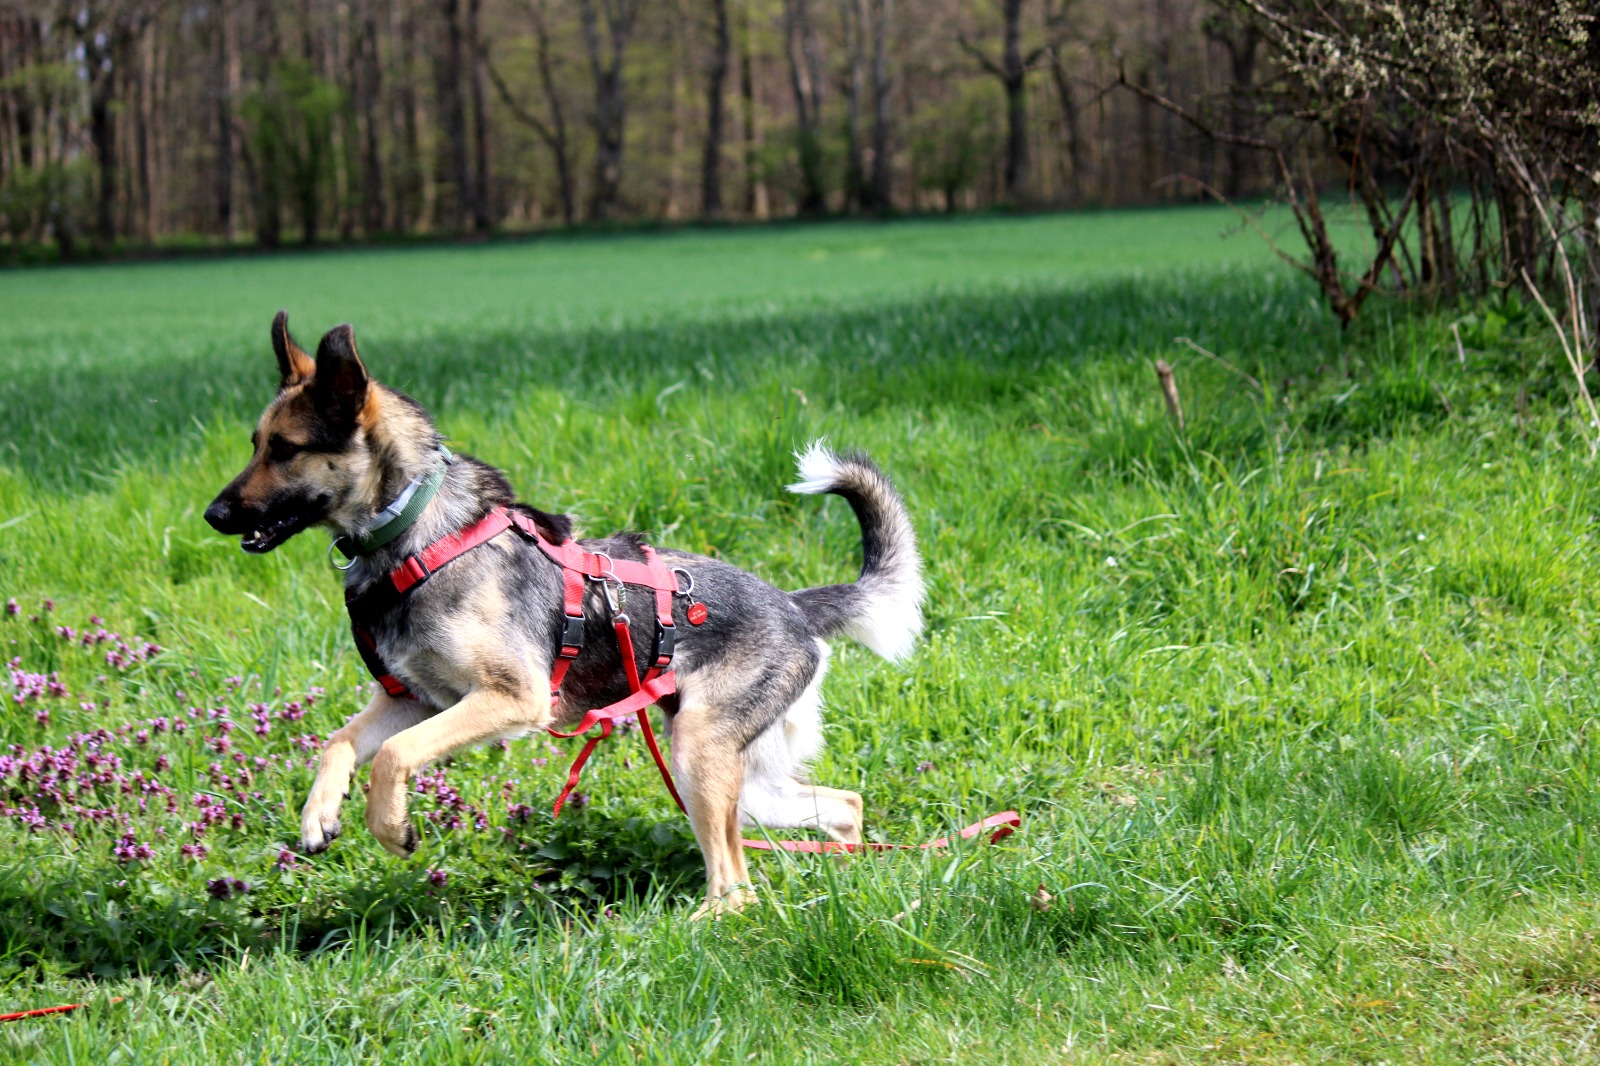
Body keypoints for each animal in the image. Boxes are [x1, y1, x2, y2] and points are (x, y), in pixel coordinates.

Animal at [204, 313, 925, 915]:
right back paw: (840, 875)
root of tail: (794, 607)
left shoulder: (506, 699)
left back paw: (707, 923)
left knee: (736, 878)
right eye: (255, 443)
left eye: (286, 449)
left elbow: (393, 758)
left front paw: (392, 827)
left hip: (700, 754)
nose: (212, 515)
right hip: (745, 779)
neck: (417, 531)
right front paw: (319, 816)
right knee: (842, 806)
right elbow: (341, 742)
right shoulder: (418, 700)